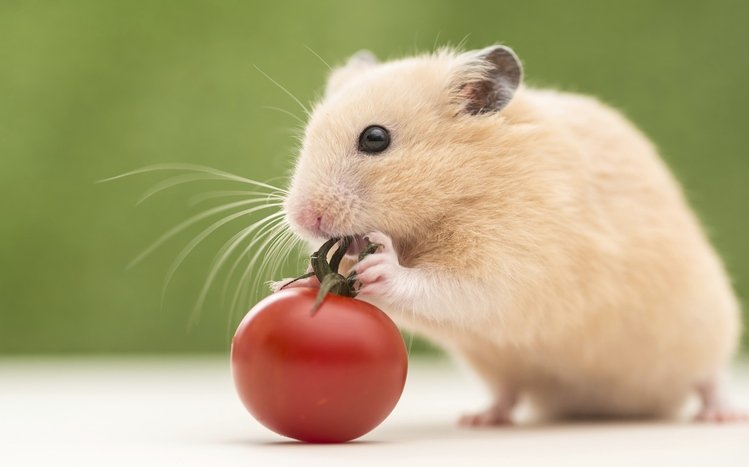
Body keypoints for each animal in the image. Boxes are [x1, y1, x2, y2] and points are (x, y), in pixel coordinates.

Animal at [276, 45, 743, 424]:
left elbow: (450, 285)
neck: (462, 191)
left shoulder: (513, 264)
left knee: (709, 377)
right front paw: (288, 282)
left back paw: (721, 414)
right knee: (508, 393)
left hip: (708, 326)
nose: (304, 217)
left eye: (375, 138)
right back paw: (480, 418)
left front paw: (382, 265)